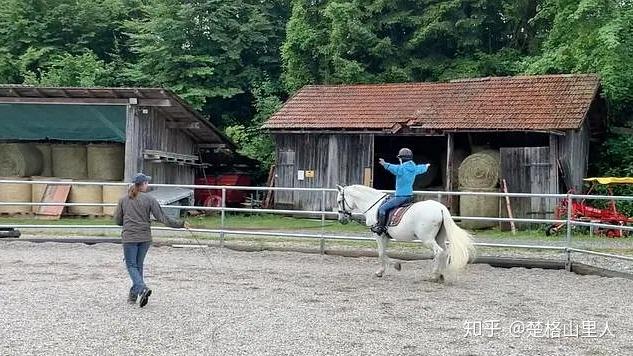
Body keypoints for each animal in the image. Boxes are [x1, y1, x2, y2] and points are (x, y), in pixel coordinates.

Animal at [336, 185, 474, 282]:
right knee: (445, 252)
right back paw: (441, 275)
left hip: (427, 239)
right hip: (439, 237)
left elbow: (381, 253)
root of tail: (440, 208)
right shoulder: (386, 236)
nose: (341, 219)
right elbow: (384, 253)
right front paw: (390, 267)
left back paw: (434, 275)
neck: (373, 205)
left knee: (439, 252)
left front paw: (386, 269)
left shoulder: (379, 235)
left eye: (338, 201)